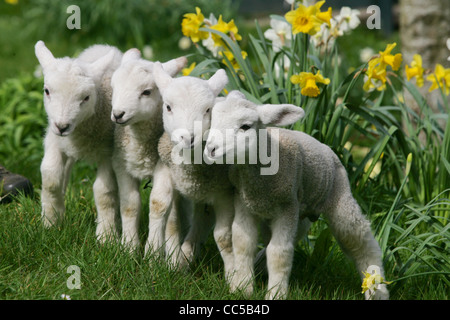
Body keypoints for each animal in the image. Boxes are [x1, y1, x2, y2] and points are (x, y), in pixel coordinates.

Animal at [35, 40, 123, 240]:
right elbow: (51, 178)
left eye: (86, 97)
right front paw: (50, 222)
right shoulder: (54, 141)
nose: (62, 126)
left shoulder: (108, 151)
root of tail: (105, 46)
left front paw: (106, 235)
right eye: (47, 91)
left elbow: (104, 191)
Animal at [110, 49, 188, 250]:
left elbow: (159, 205)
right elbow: (129, 204)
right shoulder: (122, 164)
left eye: (146, 92)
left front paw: (153, 251)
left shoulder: (165, 167)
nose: (118, 114)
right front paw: (128, 247)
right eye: (113, 88)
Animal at [149, 62, 236, 276]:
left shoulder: (225, 192)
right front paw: (155, 258)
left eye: (208, 110)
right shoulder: (166, 169)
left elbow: (224, 236)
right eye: (168, 107)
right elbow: (162, 208)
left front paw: (237, 278)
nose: (188, 138)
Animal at [205, 90, 390, 300]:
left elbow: (279, 253)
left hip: (339, 197)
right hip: (298, 214)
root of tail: (326, 148)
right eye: (212, 121)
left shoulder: (287, 206)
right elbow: (244, 243)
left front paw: (276, 294)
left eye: (245, 126)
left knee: (361, 241)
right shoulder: (245, 203)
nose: (210, 149)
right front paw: (242, 288)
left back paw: (376, 289)